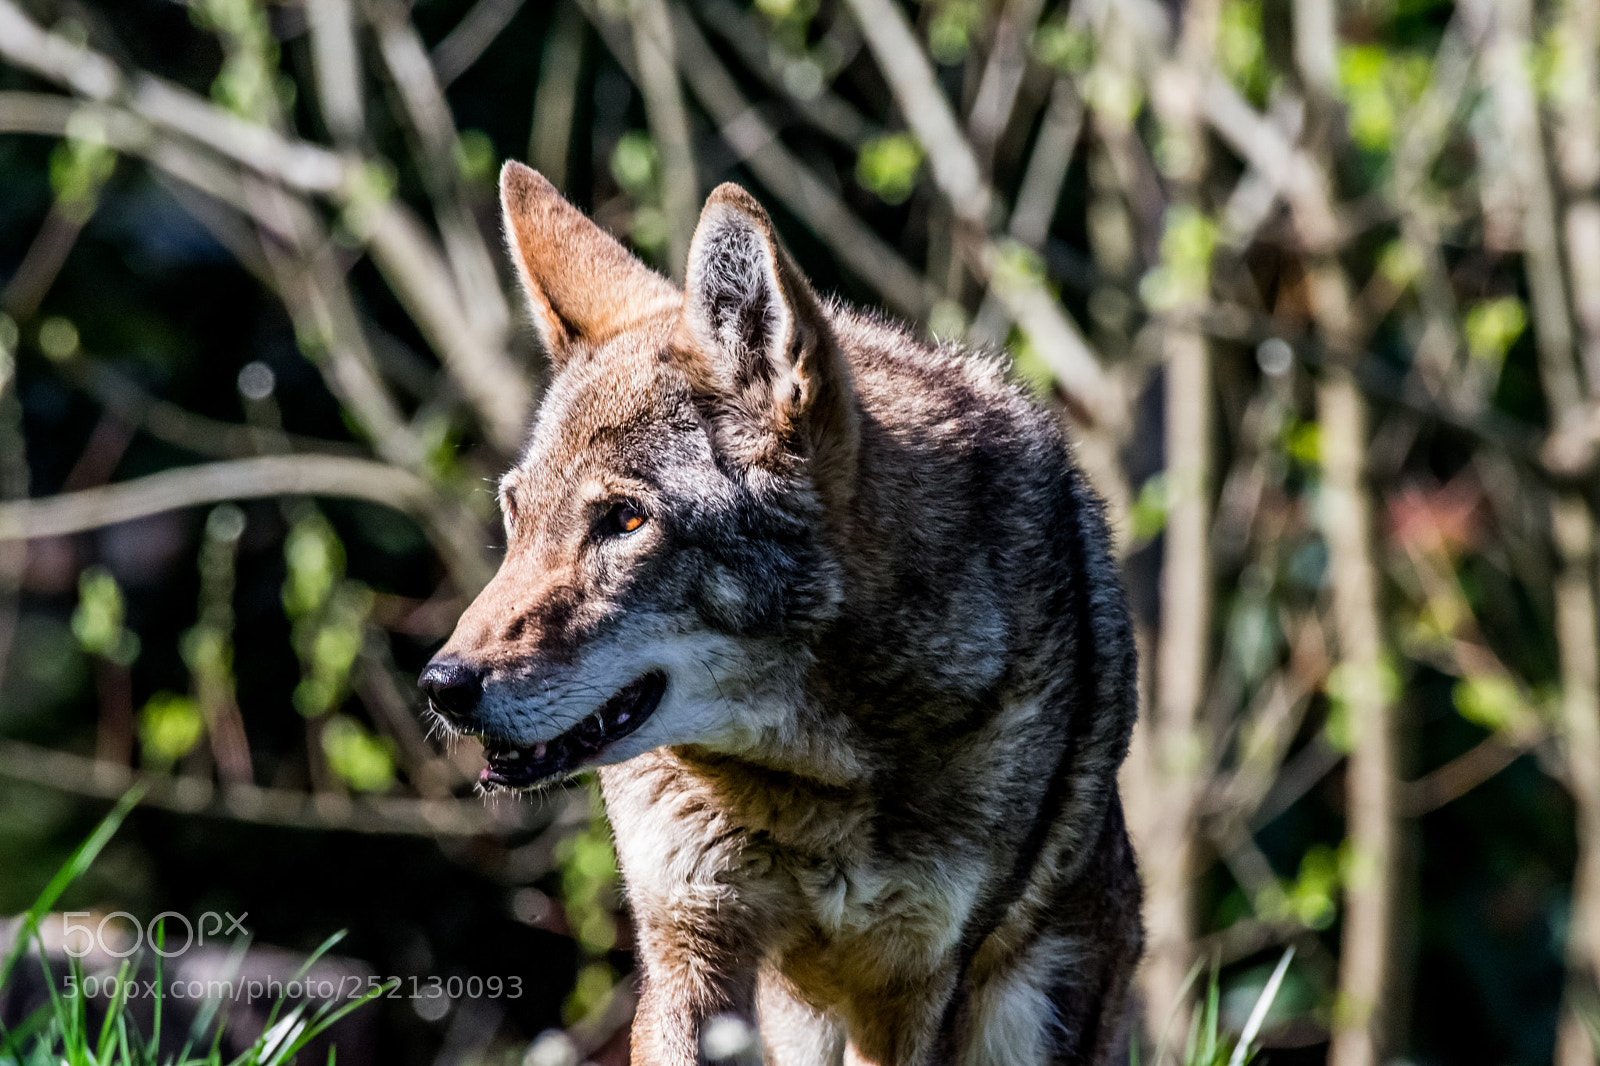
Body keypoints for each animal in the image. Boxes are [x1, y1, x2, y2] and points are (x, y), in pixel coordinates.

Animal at [419, 161, 1143, 1065]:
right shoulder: (689, 944)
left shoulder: (913, 988)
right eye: (515, 517)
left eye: (625, 521)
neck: (809, 782)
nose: (442, 685)